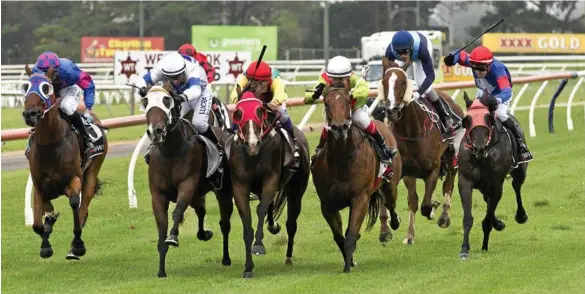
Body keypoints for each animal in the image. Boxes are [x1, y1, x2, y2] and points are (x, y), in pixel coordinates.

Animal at [22, 65, 108, 260]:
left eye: (46, 87)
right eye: (25, 86)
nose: (30, 114)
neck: (50, 145)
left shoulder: (74, 180)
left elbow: (75, 204)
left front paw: (77, 245)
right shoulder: (39, 186)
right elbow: (38, 223)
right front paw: (46, 243)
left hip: (92, 172)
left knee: (83, 209)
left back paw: (73, 249)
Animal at [226, 91, 310, 278]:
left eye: (260, 111)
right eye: (238, 113)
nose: (252, 143)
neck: (253, 155)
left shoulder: (270, 180)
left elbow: (261, 209)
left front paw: (258, 246)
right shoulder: (240, 186)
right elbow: (247, 222)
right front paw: (248, 268)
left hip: (297, 191)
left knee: (291, 224)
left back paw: (288, 258)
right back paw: (272, 226)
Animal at [456, 92, 528, 260]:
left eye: (488, 118)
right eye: (467, 120)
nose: (479, 147)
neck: (482, 157)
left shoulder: (496, 184)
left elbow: (487, 219)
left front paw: (484, 244)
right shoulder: (465, 181)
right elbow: (468, 218)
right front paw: (464, 249)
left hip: (520, 171)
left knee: (516, 186)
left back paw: (521, 216)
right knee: (487, 199)